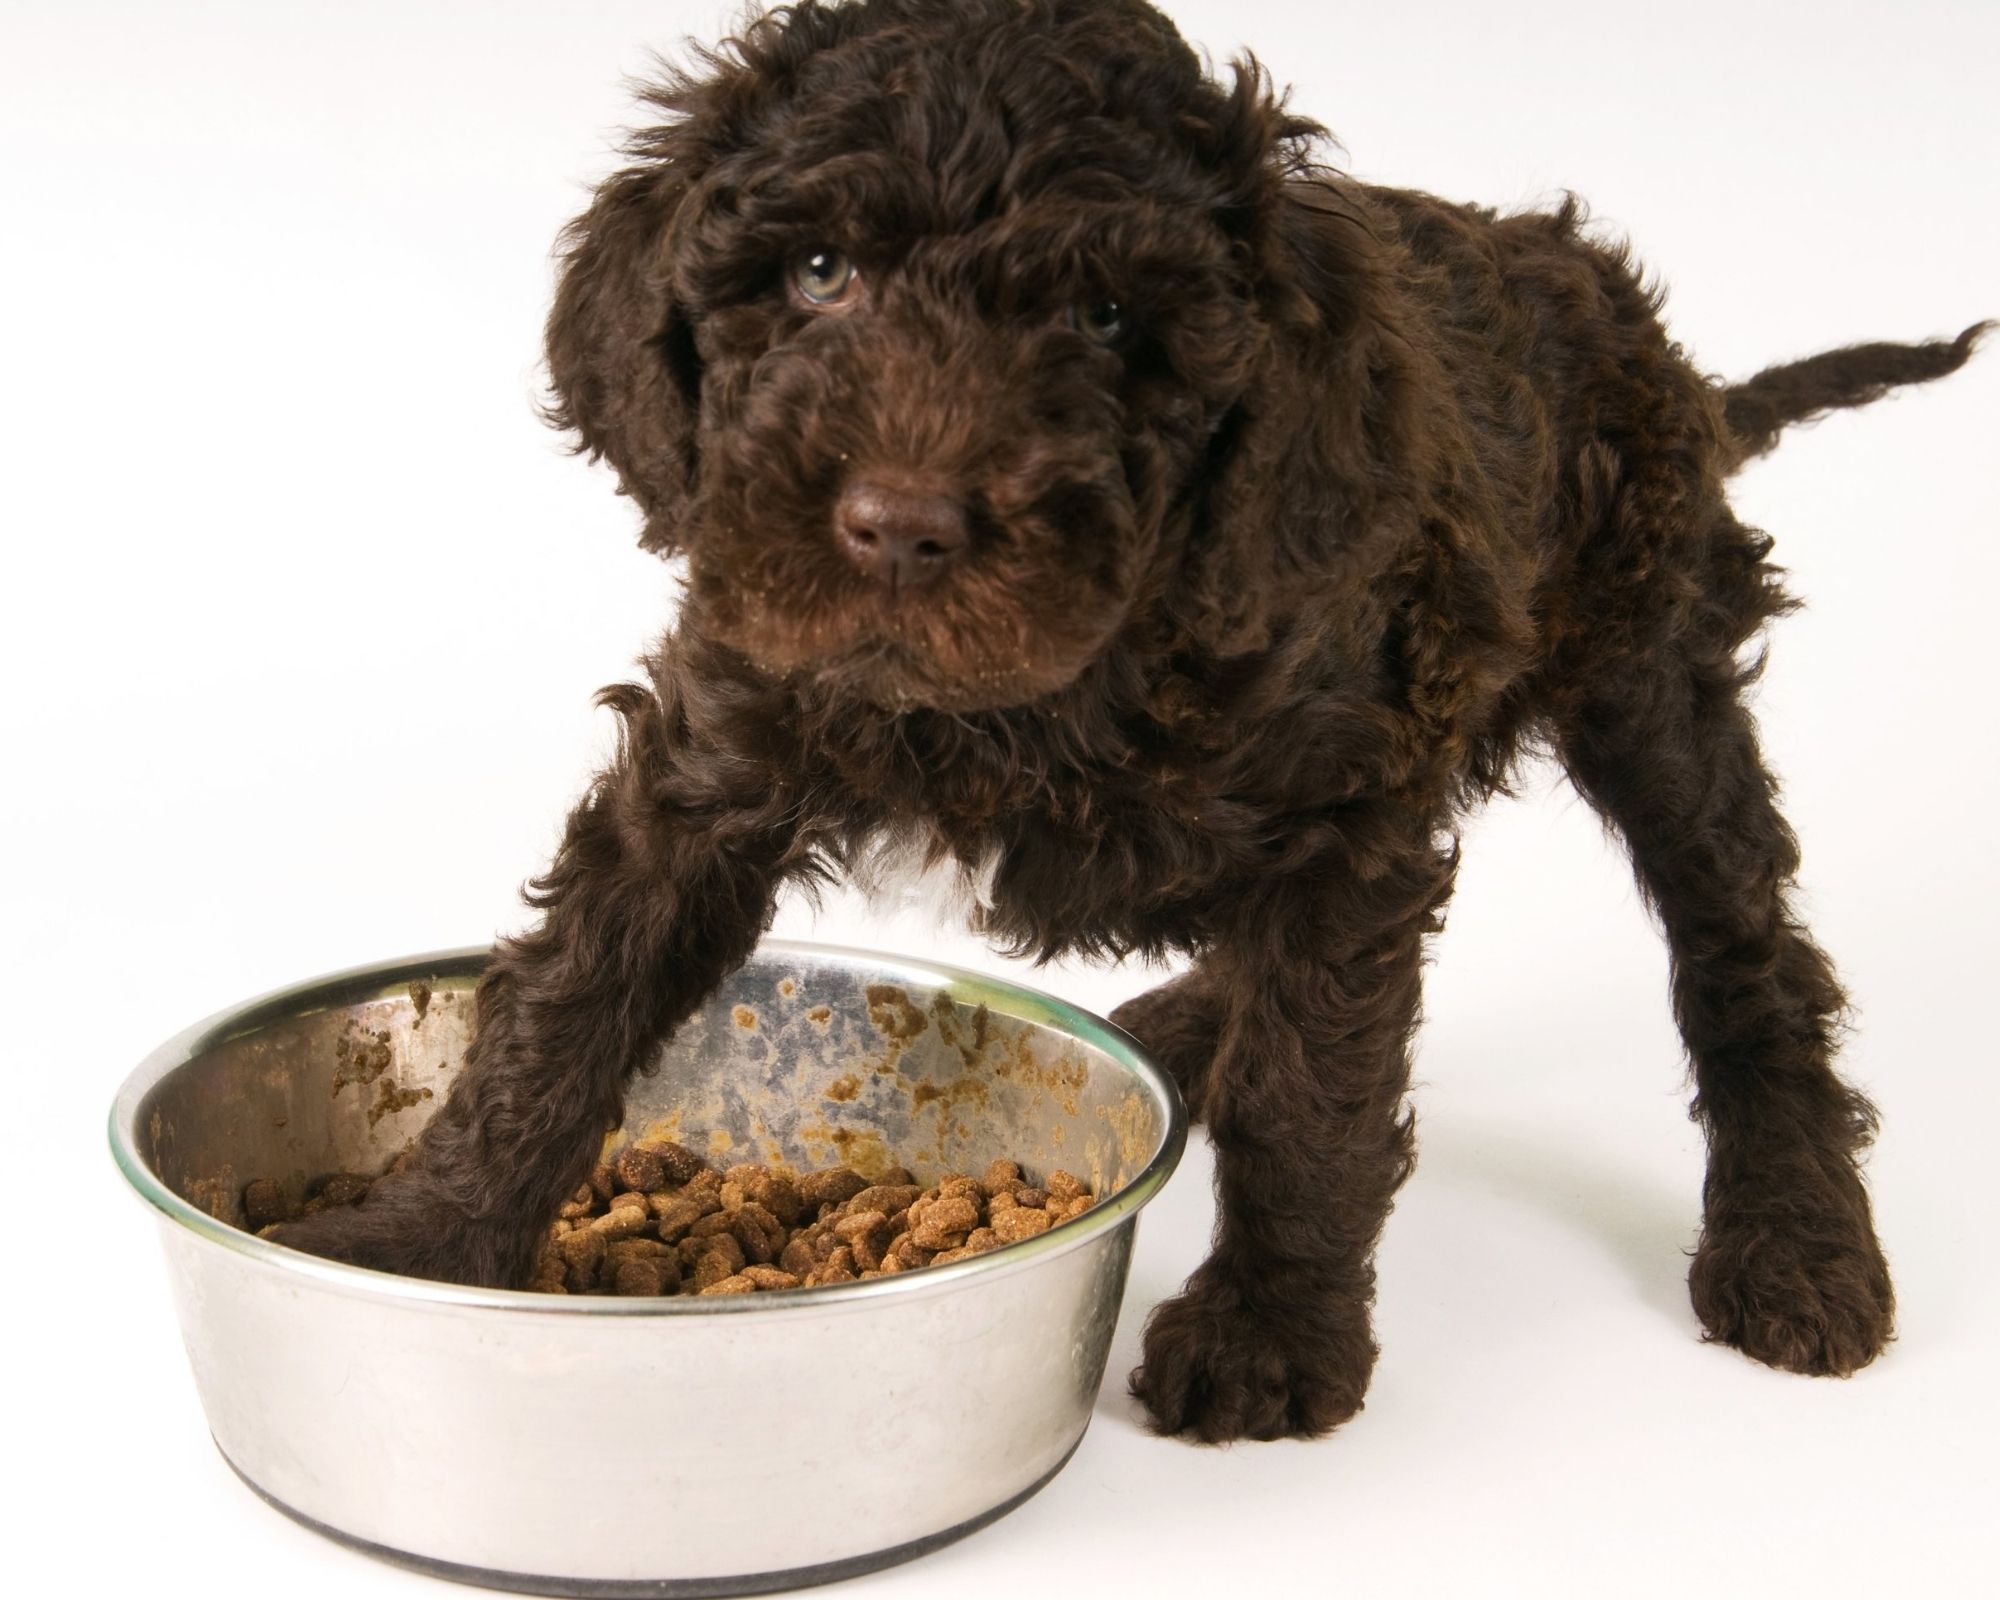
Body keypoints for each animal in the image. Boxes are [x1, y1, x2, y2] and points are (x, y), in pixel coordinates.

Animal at [274, 0, 1976, 1440]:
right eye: (818, 274)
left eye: (1103, 319)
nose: (899, 527)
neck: (1050, 683)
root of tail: (1653, 344)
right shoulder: (720, 737)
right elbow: (569, 994)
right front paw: (424, 1235)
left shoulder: (1349, 814)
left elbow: (1313, 1089)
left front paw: (1269, 1335)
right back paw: (1177, 1026)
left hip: (1652, 669)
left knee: (1747, 956)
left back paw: (1797, 1237)